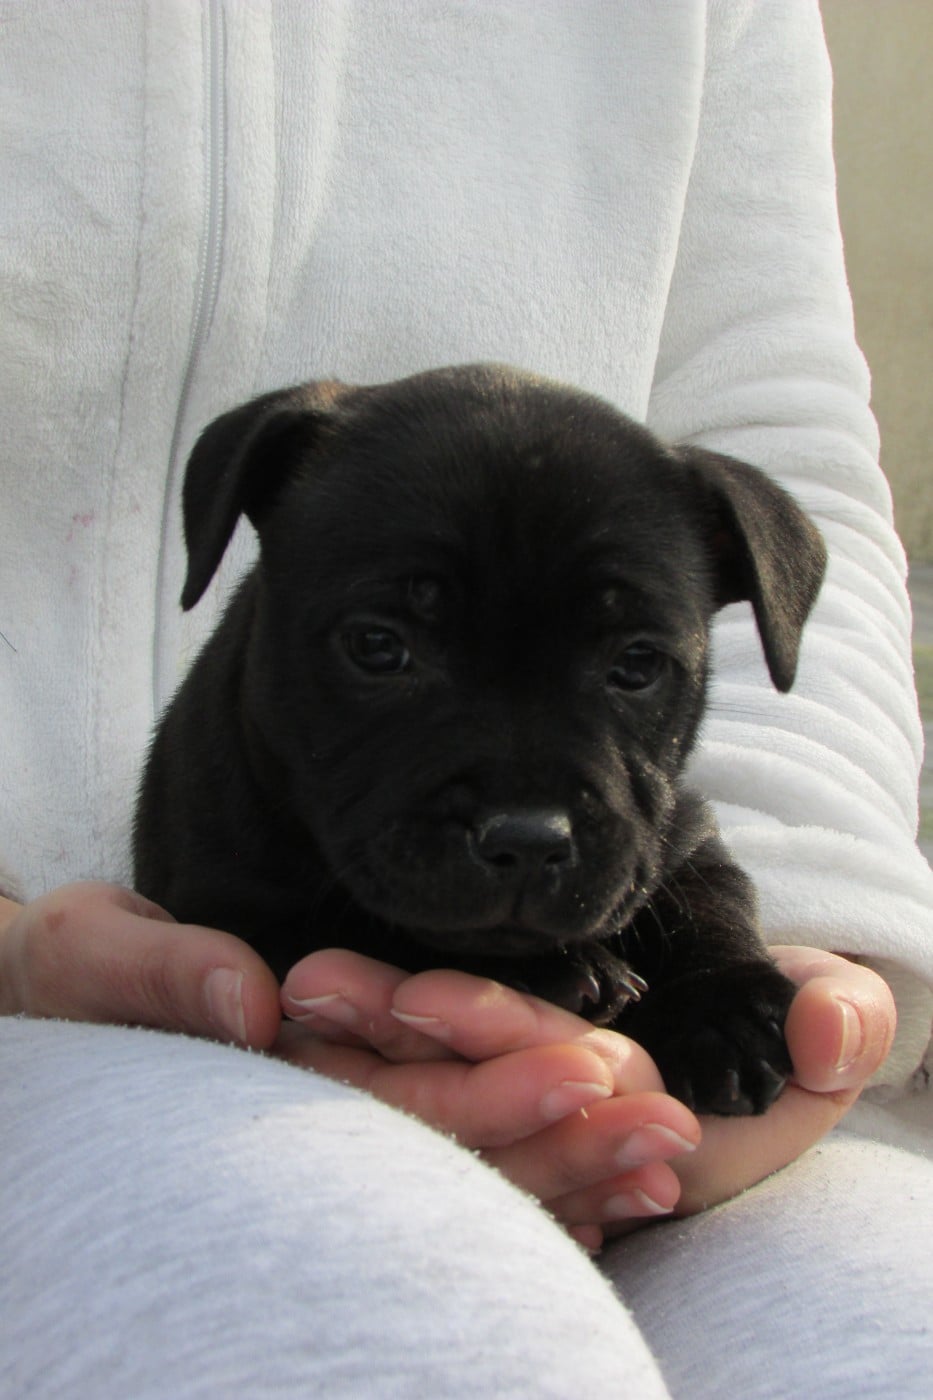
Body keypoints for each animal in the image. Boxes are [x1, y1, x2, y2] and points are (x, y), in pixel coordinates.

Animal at [134, 364, 826, 1116]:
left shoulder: (678, 830)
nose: (528, 838)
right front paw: (548, 970)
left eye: (638, 664)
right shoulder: (227, 906)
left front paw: (723, 1013)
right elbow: (363, 927)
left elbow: (712, 898)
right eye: (377, 646)